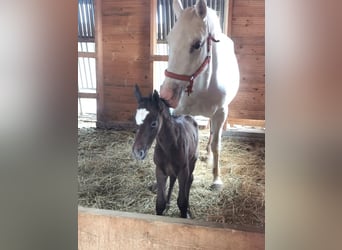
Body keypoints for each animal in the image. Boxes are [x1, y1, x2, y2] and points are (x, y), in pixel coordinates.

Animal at [132, 85, 199, 218]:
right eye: (135, 120)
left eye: (154, 123)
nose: (137, 152)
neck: (170, 146)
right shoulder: (160, 170)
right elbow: (160, 203)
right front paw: (165, 206)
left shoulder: (183, 171)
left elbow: (182, 202)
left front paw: (185, 213)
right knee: (172, 179)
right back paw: (168, 204)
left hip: (192, 162)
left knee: (190, 180)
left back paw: (189, 210)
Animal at [159, 0, 239, 188]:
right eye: (169, 40)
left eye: (197, 44)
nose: (166, 95)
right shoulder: (179, 112)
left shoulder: (221, 113)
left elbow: (217, 144)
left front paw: (216, 179)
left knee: (212, 133)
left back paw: (208, 155)